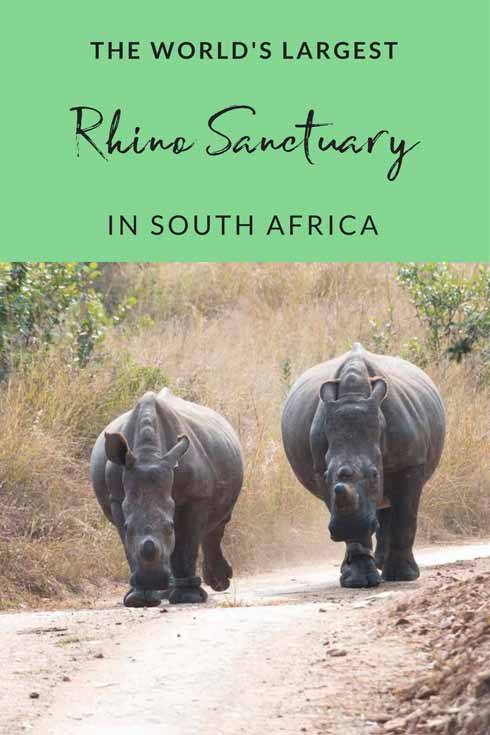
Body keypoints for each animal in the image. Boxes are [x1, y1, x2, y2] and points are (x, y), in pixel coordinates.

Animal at [90, 388, 244, 606]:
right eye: (128, 527)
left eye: (170, 527)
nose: (151, 580)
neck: (148, 455)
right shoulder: (117, 499)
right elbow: (128, 545)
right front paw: (138, 599)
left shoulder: (195, 496)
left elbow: (186, 542)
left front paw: (188, 598)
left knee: (218, 523)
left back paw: (218, 583)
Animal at [281, 343, 445, 588]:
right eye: (327, 475)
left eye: (375, 474)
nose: (348, 527)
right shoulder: (320, 468)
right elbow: (353, 523)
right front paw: (359, 581)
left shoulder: (410, 462)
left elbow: (405, 517)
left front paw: (404, 577)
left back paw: (386, 568)